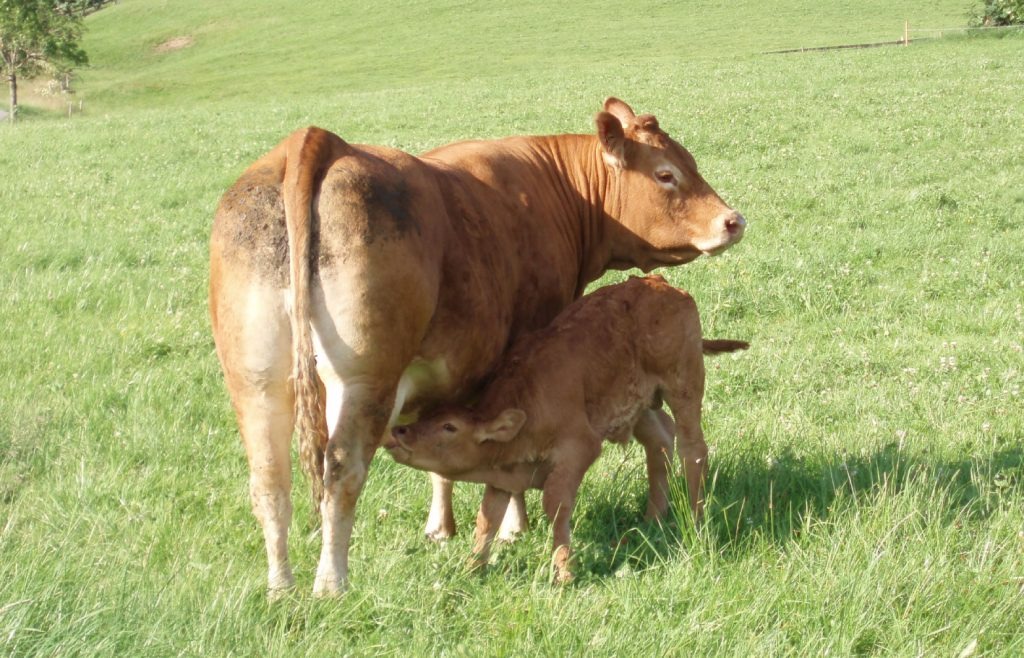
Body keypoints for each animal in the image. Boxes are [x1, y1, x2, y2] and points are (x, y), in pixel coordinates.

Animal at [387, 276, 749, 585]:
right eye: (428, 416)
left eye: (450, 427)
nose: (400, 433)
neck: (527, 404)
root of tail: (662, 284)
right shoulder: (501, 479)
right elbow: (487, 520)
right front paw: (471, 568)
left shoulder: (578, 450)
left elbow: (556, 508)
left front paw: (563, 572)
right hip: (641, 405)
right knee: (660, 442)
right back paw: (653, 518)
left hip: (684, 385)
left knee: (693, 449)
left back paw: (694, 517)